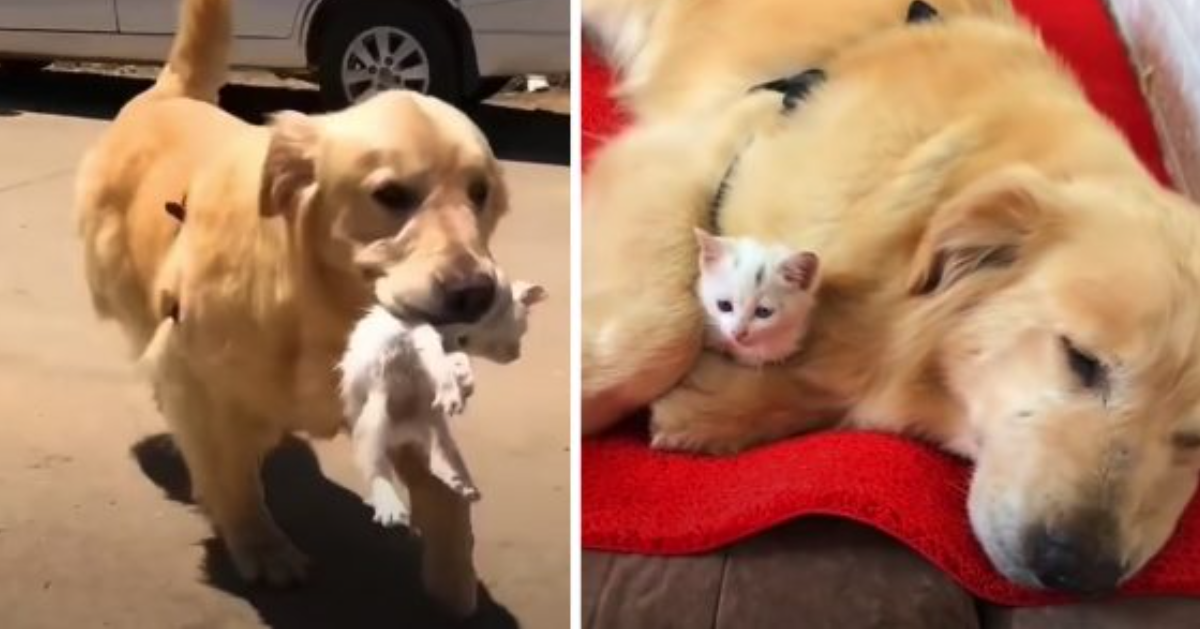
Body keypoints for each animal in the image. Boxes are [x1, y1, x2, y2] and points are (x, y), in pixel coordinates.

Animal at [73, 0, 506, 614]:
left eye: (480, 192)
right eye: (390, 195)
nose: (476, 291)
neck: (319, 305)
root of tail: (166, 96)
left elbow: (446, 495)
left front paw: (454, 578)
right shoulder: (202, 383)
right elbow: (231, 475)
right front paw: (261, 545)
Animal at [336, 270, 547, 525]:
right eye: (522, 328)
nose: (515, 356)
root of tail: (402, 433)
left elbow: (454, 358)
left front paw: (464, 381)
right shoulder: (421, 330)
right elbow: (437, 351)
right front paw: (456, 384)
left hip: (435, 425)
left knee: (439, 454)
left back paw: (461, 483)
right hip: (374, 417)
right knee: (375, 464)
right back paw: (390, 506)